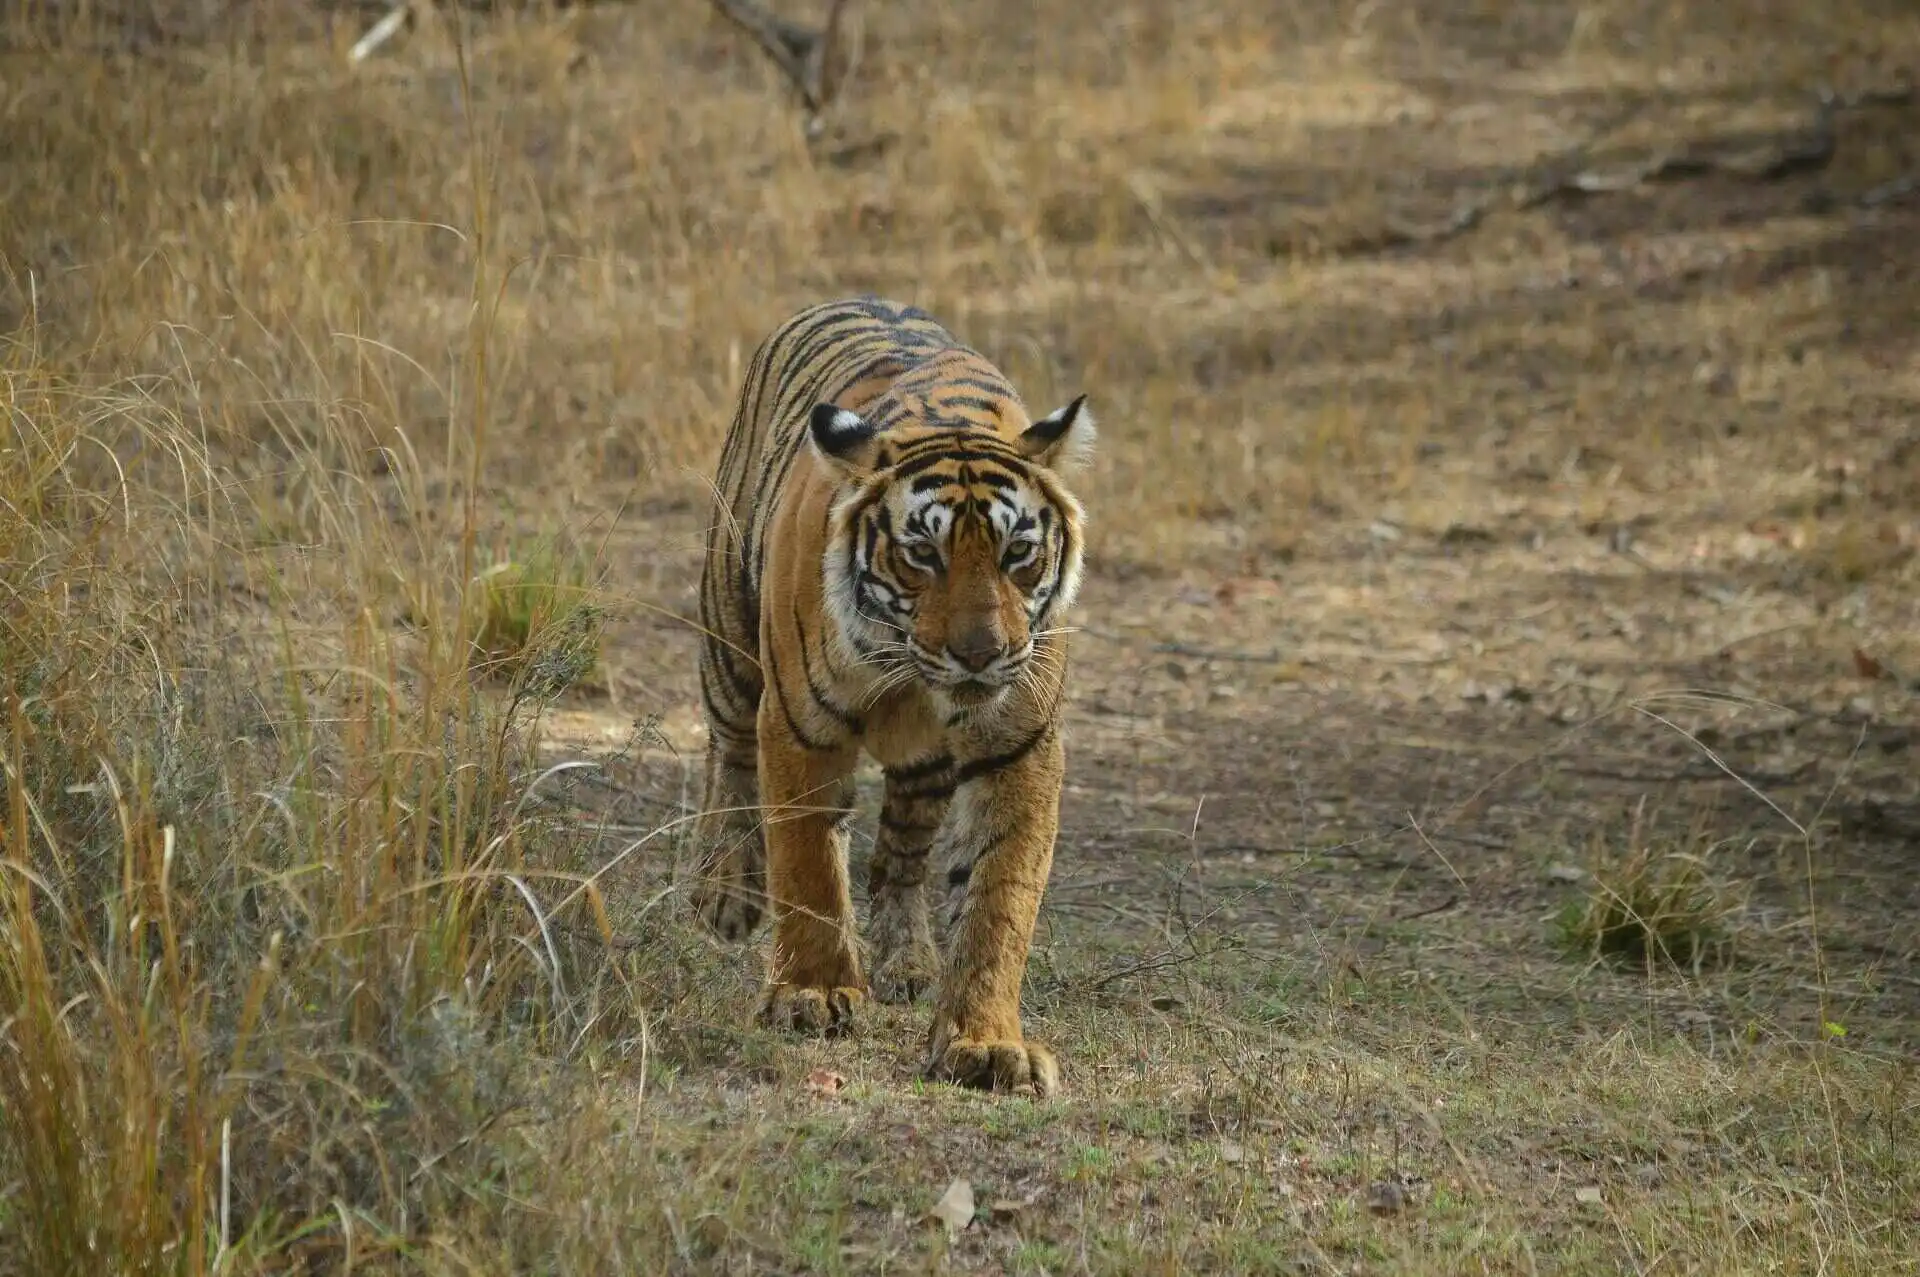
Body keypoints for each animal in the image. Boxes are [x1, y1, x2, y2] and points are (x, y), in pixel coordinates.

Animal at [687, 293, 1098, 1090]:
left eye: (1018, 553)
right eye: (921, 554)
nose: (981, 653)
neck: (911, 674)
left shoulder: (1019, 746)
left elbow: (1000, 897)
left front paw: (985, 1041)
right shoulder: (799, 725)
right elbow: (808, 864)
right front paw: (812, 994)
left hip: (926, 768)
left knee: (900, 859)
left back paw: (908, 961)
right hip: (730, 641)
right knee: (729, 758)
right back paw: (725, 893)